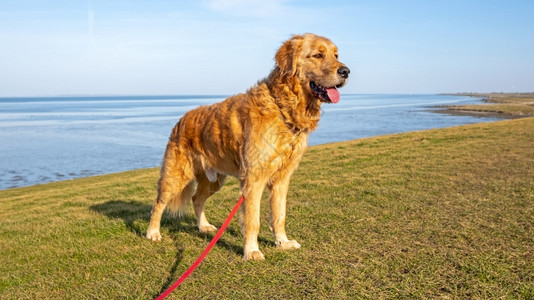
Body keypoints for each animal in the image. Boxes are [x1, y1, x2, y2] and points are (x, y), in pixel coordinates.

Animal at [147, 32, 352, 258]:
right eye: (318, 55)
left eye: (336, 55)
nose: (346, 71)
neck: (283, 108)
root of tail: (181, 120)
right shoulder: (254, 179)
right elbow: (253, 220)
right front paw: (251, 251)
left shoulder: (281, 180)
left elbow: (279, 215)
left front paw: (282, 242)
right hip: (175, 177)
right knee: (158, 203)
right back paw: (153, 232)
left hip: (214, 180)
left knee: (196, 199)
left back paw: (203, 226)